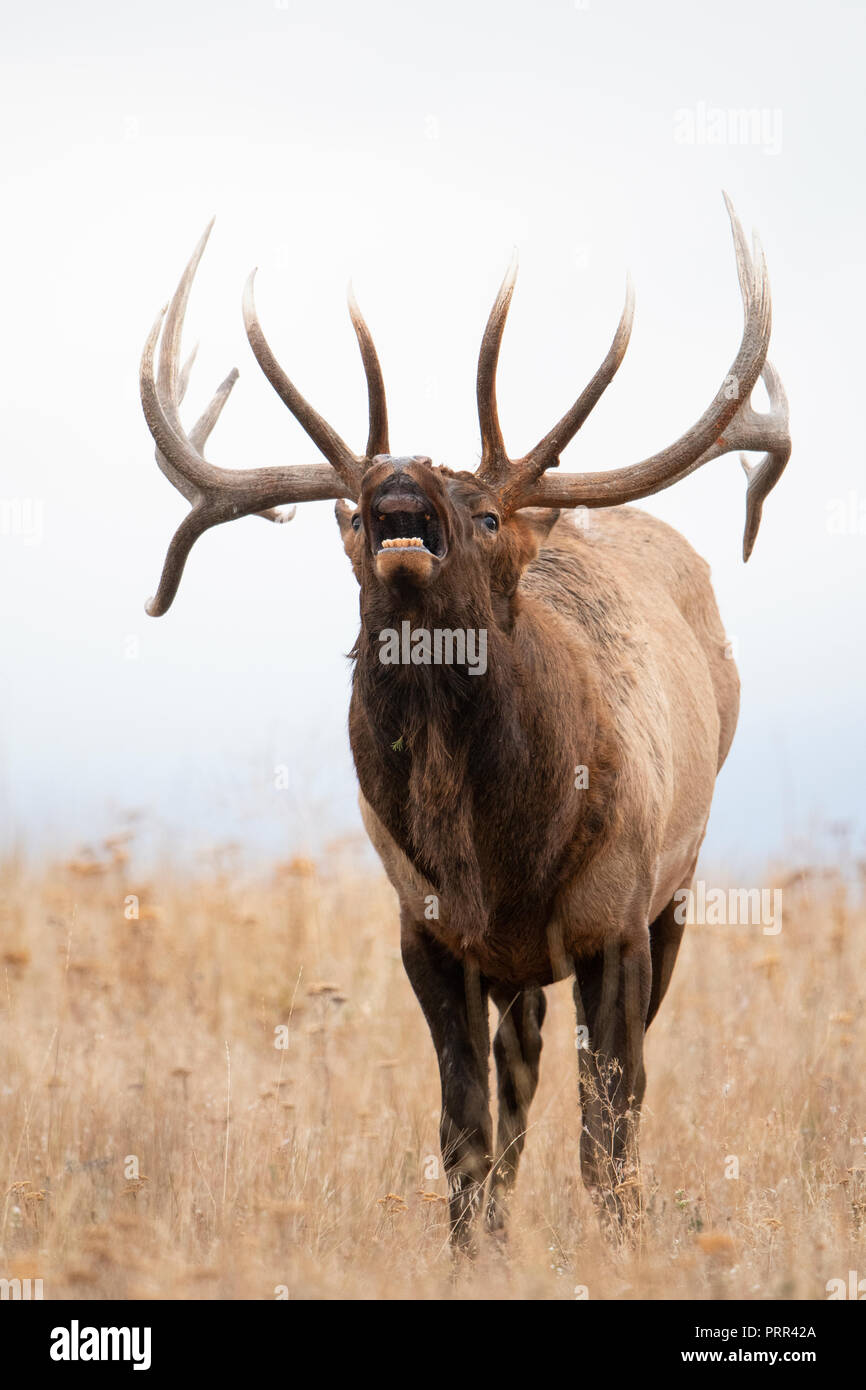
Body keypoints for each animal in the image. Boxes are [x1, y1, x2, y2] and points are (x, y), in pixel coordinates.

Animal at [139, 195, 790, 1248]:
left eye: (485, 514)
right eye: (349, 522)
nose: (398, 470)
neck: (500, 854)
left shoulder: (619, 920)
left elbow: (609, 1134)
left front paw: (620, 1248)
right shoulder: (429, 931)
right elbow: (465, 1136)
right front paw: (474, 1254)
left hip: (679, 887)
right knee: (517, 1073)